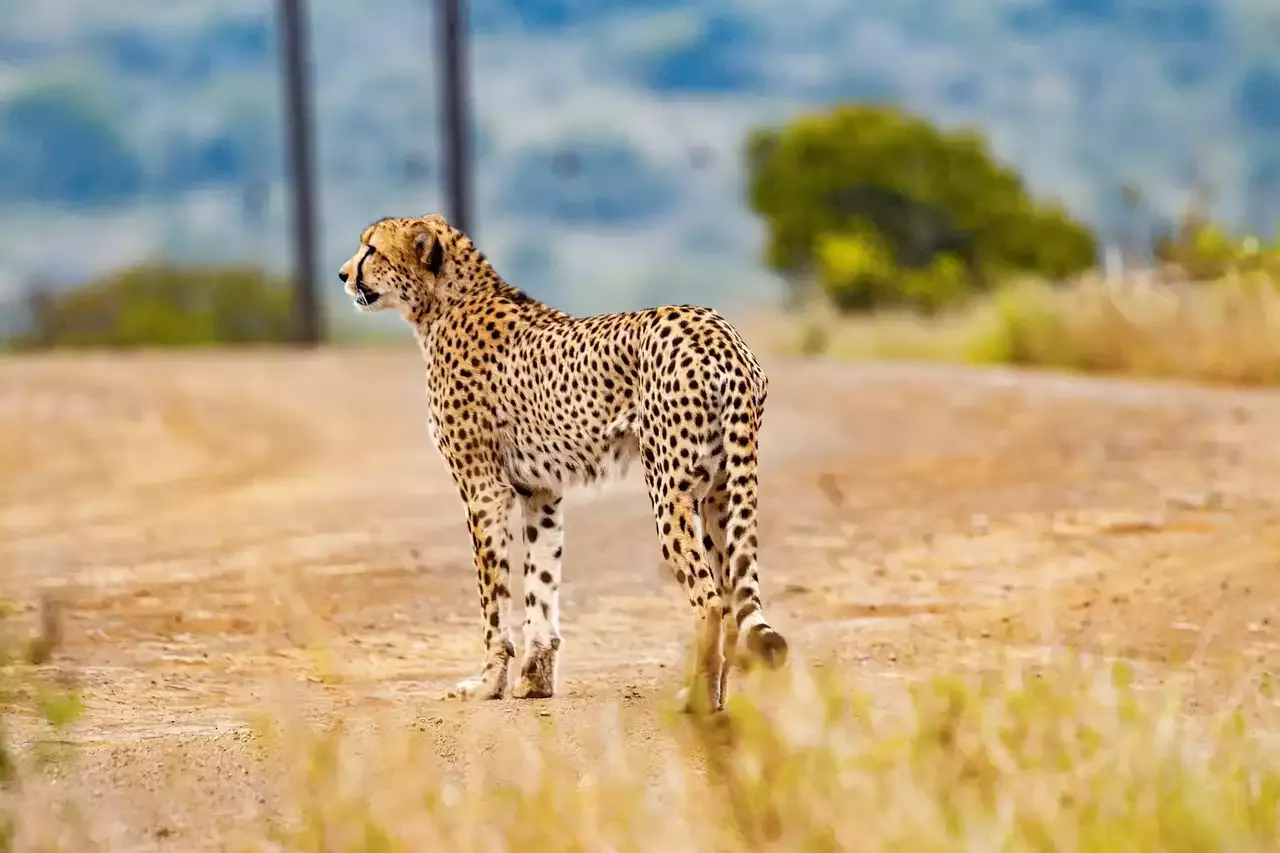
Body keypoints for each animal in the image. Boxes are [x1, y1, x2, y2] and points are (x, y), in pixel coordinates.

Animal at [337, 213, 789, 714]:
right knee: (729, 597)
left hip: (670, 490)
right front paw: (535, 681)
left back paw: (699, 701)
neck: (443, 303)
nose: (342, 274)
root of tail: (719, 332)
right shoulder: (541, 491)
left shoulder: (483, 488)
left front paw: (488, 683)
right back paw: (719, 698)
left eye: (371, 249)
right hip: (719, 493)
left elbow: (494, 597)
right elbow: (541, 583)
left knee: (710, 600)